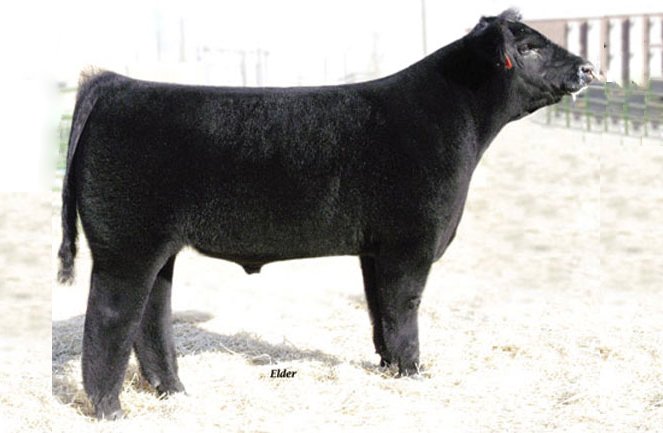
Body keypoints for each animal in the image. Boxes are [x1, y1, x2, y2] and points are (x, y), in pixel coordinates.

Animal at [57, 9, 595, 419]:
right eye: (529, 47)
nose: (588, 69)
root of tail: (116, 84)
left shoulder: (375, 250)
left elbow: (380, 311)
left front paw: (390, 367)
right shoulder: (410, 243)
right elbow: (404, 309)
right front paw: (414, 373)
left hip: (159, 248)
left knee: (150, 318)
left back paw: (174, 392)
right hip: (126, 248)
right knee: (109, 319)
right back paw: (110, 409)